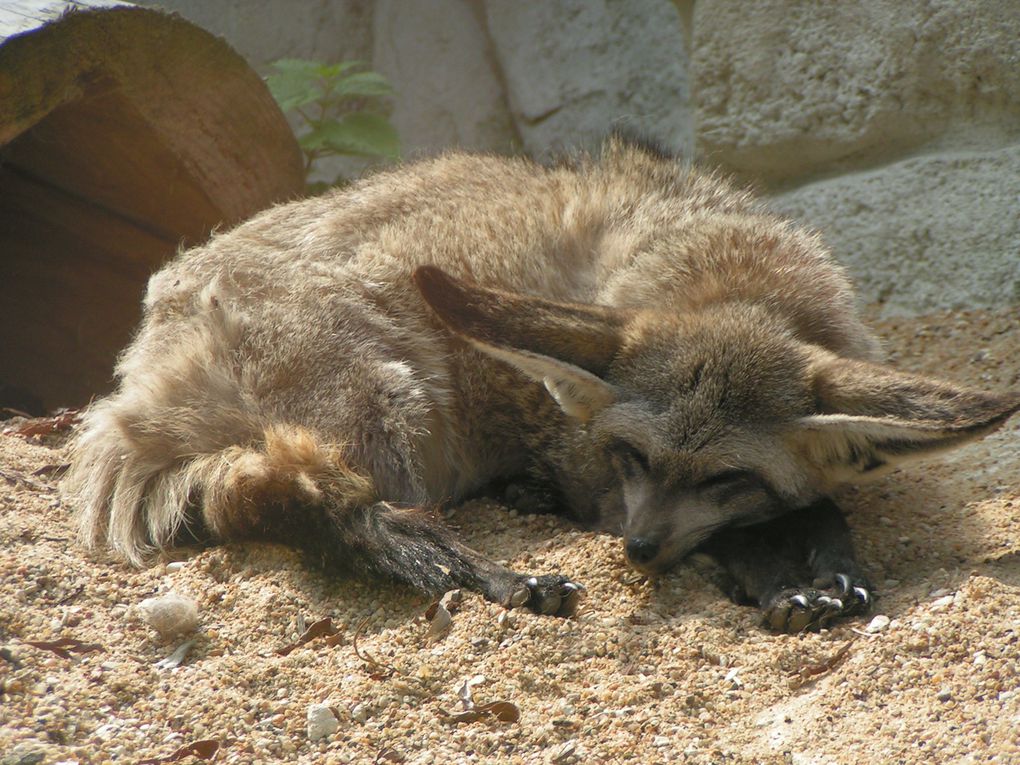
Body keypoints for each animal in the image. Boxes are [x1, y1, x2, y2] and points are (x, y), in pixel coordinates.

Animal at [65, 137, 1020, 636]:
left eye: (727, 475)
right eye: (633, 457)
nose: (637, 550)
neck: (719, 268)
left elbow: (817, 504)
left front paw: (829, 564)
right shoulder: (600, 482)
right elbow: (748, 533)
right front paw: (784, 577)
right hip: (387, 400)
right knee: (314, 507)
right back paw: (492, 572)